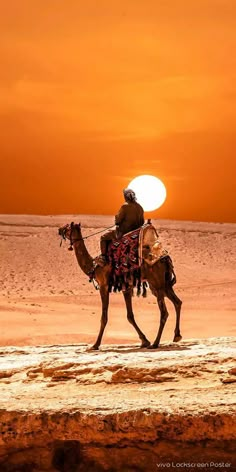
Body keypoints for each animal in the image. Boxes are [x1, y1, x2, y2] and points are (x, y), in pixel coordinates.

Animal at [58, 222, 183, 350]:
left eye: (67, 227)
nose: (59, 229)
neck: (93, 266)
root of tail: (164, 257)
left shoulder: (103, 286)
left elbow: (104, 317)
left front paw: (95, 345)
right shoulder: (125, 287)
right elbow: (130, 316)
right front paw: (144, 341)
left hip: (156, 283)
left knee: (164, 312)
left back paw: (155, 343)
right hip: (163, 284)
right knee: (177, 302)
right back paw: (176, 335)